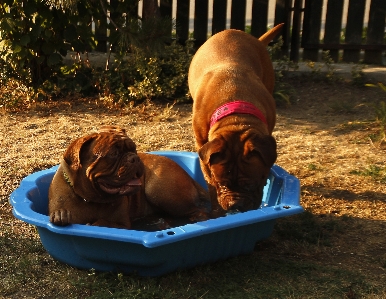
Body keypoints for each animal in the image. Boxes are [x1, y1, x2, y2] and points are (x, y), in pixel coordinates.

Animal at [49, 126, 211, 230]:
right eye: (113, 154)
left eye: (133, 148)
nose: (134, 158)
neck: (90, 200)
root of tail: (189, 176)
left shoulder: (123, 225)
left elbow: (103, 222)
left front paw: (96, 223)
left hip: (160, 192)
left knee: (199, 210)